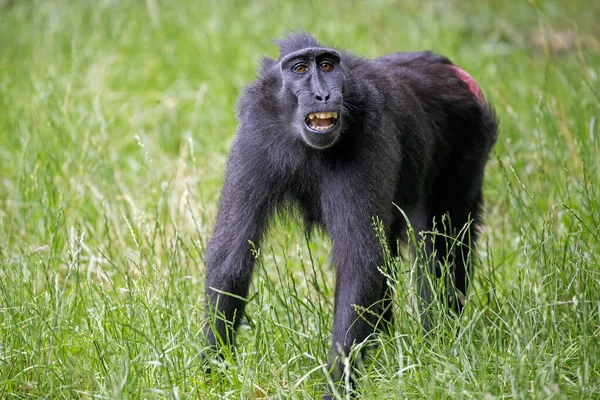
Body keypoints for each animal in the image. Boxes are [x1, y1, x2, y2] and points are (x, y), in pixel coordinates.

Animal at [204, 31, 500, 396]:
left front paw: (336, 385)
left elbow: (360, 262)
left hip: (468, 143)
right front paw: (212, 373)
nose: (323, 94)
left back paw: (439, 339)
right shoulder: (255, 140)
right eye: (300, 68)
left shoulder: (369, 135)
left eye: (327, 65)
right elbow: (232, 254)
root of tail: (450, 69)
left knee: (443, 244)